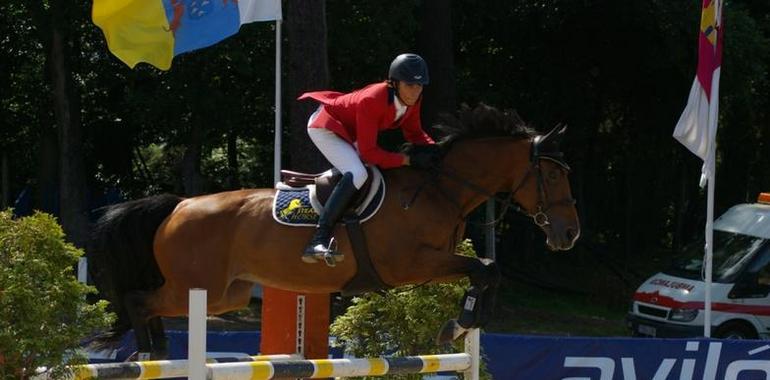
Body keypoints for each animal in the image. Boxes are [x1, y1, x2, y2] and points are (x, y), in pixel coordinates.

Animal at [88, 103, 576, 360]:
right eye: (553, 176)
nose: (569, 234)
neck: (440, 189)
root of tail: (179, 206)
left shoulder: (433, 264)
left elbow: (488, 269)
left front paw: (461, 323)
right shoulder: (412, 265)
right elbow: (485, 266)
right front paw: (461, 322)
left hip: (228, 294)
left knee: (149, 303)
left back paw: (152, 352)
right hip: (195, 287)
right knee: (139, 300)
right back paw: (149, 353)